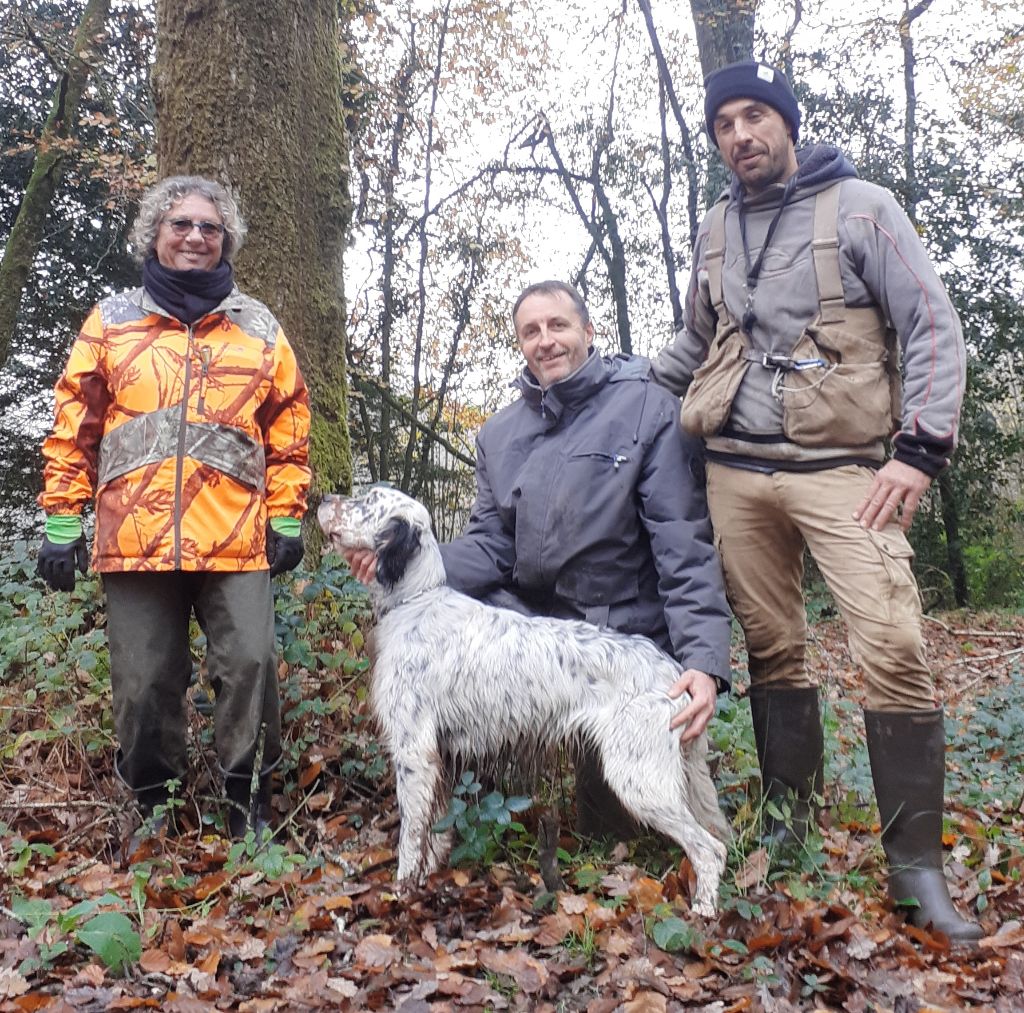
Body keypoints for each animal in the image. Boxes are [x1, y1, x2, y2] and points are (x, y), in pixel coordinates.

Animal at [317, 485, 729, 913]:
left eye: (367, 502)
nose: (325, 498)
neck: (416, 600)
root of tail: (675, 672)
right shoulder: (440, 756)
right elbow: (437, 832)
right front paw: (428, 880)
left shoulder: (413, 752)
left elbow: (411, 836)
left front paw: (401, 891)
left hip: (639, 778)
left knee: (710, 849)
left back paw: (703, 910)